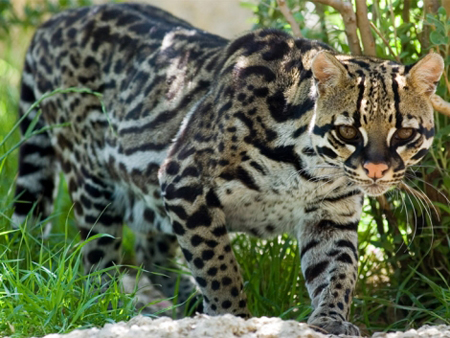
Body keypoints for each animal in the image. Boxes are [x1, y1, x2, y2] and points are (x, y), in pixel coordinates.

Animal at [13, 3, 442, 336]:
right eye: (349, 130)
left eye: (404, 133)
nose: (376, 169)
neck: (309, 168)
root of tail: (55, 20)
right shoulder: (184, 179)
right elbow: (218, 266)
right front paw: (230, 317)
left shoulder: (331, 213)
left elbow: (337, 270)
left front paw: (331, 319)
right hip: (93, 184)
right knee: (96, 258)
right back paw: (115, 307)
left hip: (145, 201)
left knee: (152, 255)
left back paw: (185, 304)